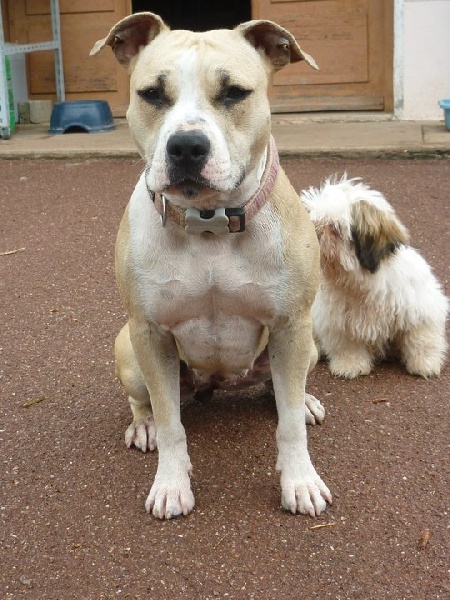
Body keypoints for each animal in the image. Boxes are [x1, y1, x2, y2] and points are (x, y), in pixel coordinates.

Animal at [91, 14, 330, 520]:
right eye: (152, 94)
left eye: (235, 93)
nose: (186, 146)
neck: (209, 225)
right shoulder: (150, 332)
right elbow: (171, 424)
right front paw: (170, 484)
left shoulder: (291, 324)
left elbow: (289, 426)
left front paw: (300, 481)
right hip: (128, 349)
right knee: (145, 402)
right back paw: (143, 426)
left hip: (307, 346)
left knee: (284, 391)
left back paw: (305, 400)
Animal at [300, 175, 448, 380]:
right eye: (313, 220)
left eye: (334, 228)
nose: (313, 232)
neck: (361, 281)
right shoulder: (339, 322)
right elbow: (348, 346)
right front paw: (350, 365)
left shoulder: (420, 309)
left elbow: (421, 338)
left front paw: (425, 364)